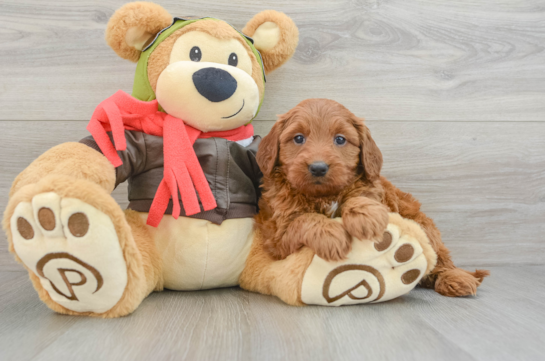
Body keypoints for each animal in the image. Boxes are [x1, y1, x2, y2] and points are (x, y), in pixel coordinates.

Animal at [255, 97, 488, 296]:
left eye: (340, 139)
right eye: (298, 138)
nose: (318, 168)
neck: (324, 195)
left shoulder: (372, 189)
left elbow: (361, 197)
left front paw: (366, 219)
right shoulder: (278, 236)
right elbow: (304, 220)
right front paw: (332, 235)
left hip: (425, 227)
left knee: (441, 258)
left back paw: (455, 278)